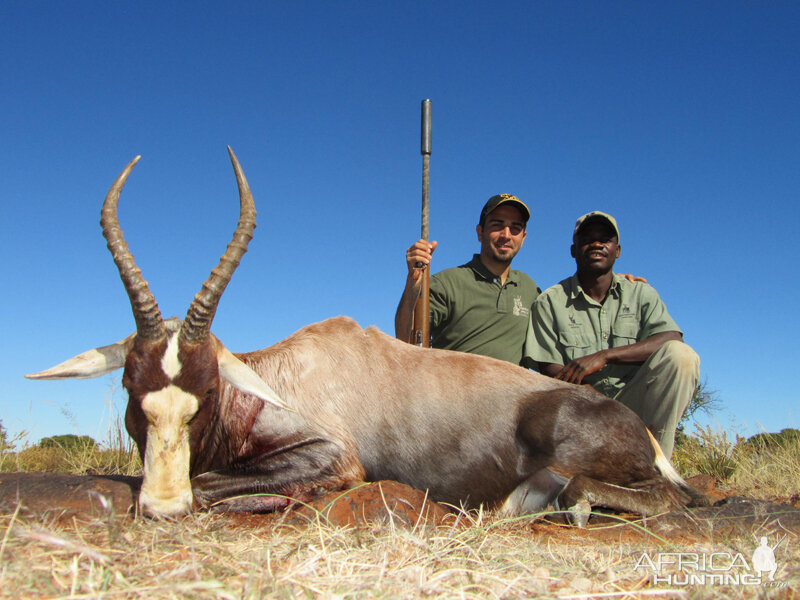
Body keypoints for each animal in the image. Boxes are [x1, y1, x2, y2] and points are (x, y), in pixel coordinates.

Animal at [26, 148, 708, 524]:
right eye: (129, 388)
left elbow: (214, 486)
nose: (162, 508)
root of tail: (648, 438)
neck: (282, 373)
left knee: (645, 496)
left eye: (207, 388)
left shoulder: (336, 458)